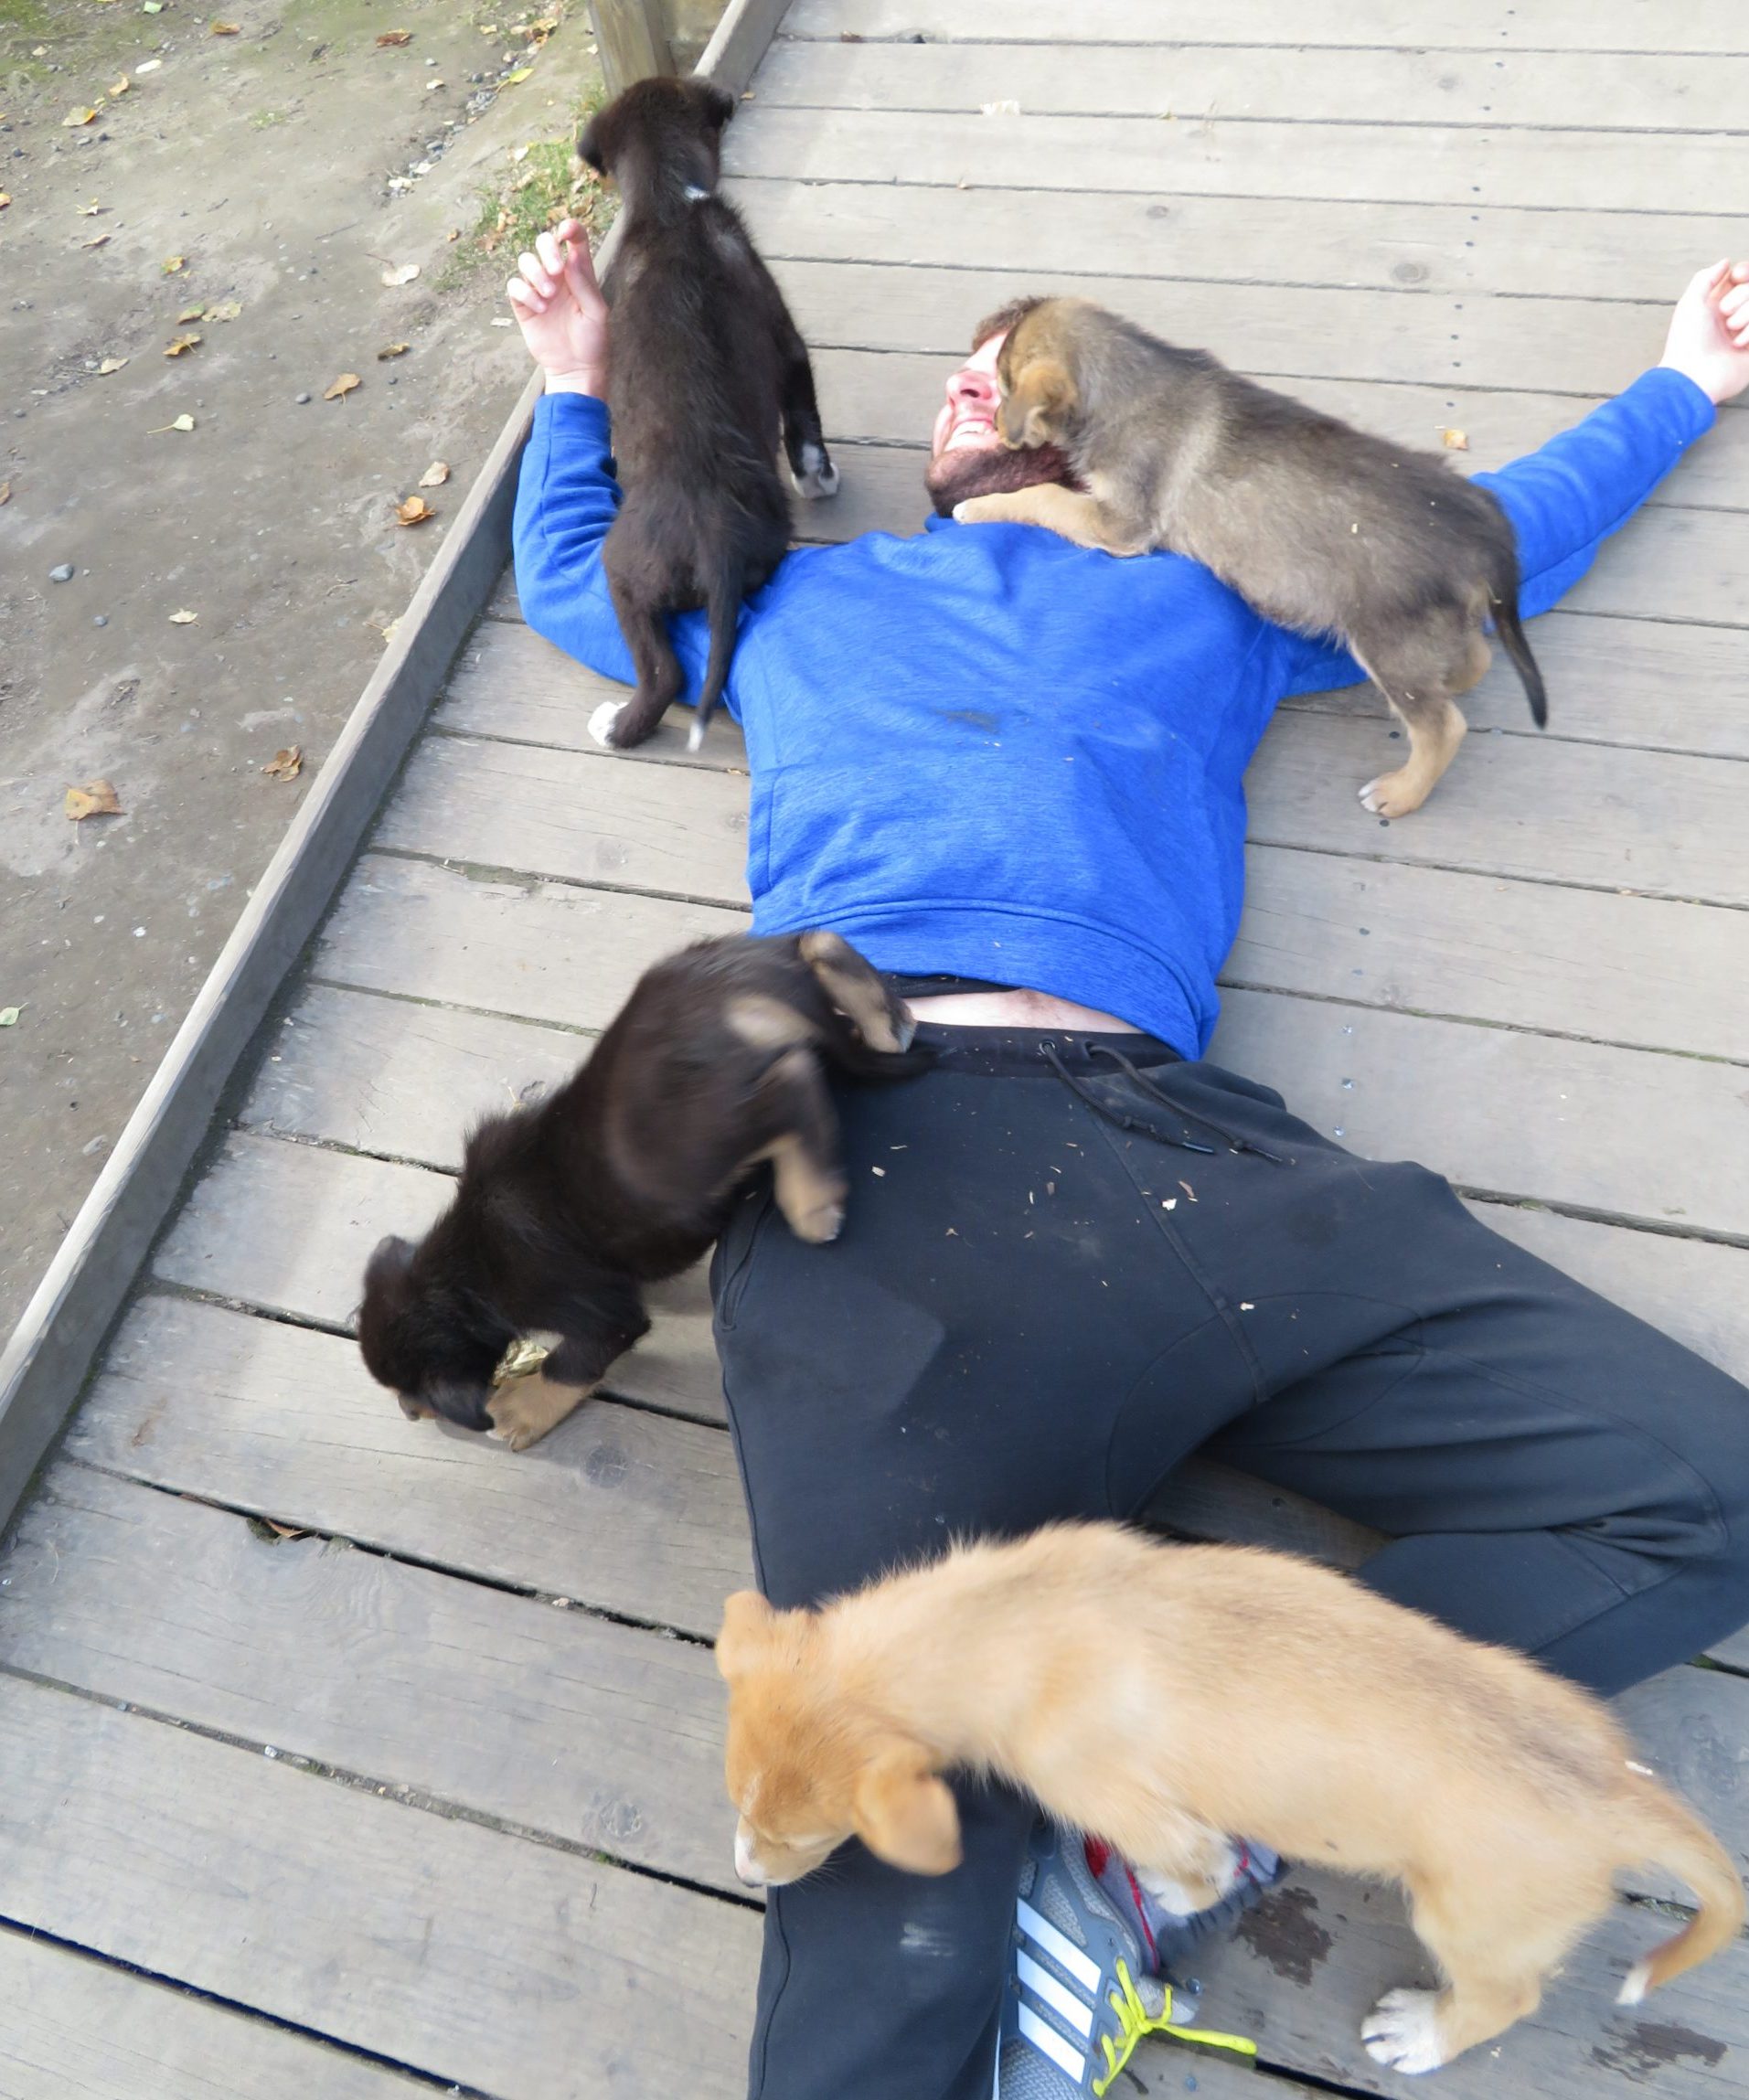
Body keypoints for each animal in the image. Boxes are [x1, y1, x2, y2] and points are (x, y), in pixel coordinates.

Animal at [357, 932, 928, 1444]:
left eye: (409, 1389)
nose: (409, 1413)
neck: (462, 1268)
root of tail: (735, 987)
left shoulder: (599, 1315)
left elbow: (573, 1363)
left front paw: (522, 1413)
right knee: (816, 940)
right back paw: (889, 1021)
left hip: (682, 1149)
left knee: (795, 1081)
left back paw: (814, 1205)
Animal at [575, 77, 836, 760]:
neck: (670, 203)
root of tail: (714, 531)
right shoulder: (785, 341)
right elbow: (804, 419)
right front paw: (818, 478)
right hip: (759, 552)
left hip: (621, 572)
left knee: (664, 674)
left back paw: (614, 726)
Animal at [718, 1520, 1738, 2074]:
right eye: (739, 1802)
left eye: (802, 1836)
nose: (745, 1870)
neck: (1016, 1619)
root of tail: (1615, 1796)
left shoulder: (1134, 1805)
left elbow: (1195, 1869)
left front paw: (1173, 1895)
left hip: (1469, 1922)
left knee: (1506, 1997)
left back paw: (1421, 2034)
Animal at [957, 298, 1545, 818]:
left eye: (1003, 391)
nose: (998, 426)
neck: (1127, 382)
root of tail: (1484, 526)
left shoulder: (1120, 523)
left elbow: (1045, 496)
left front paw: (975, 506)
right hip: (1429, 627)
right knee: (1475, 659)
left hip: (1386, 638)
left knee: (1444, 726)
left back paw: (1400, 794)